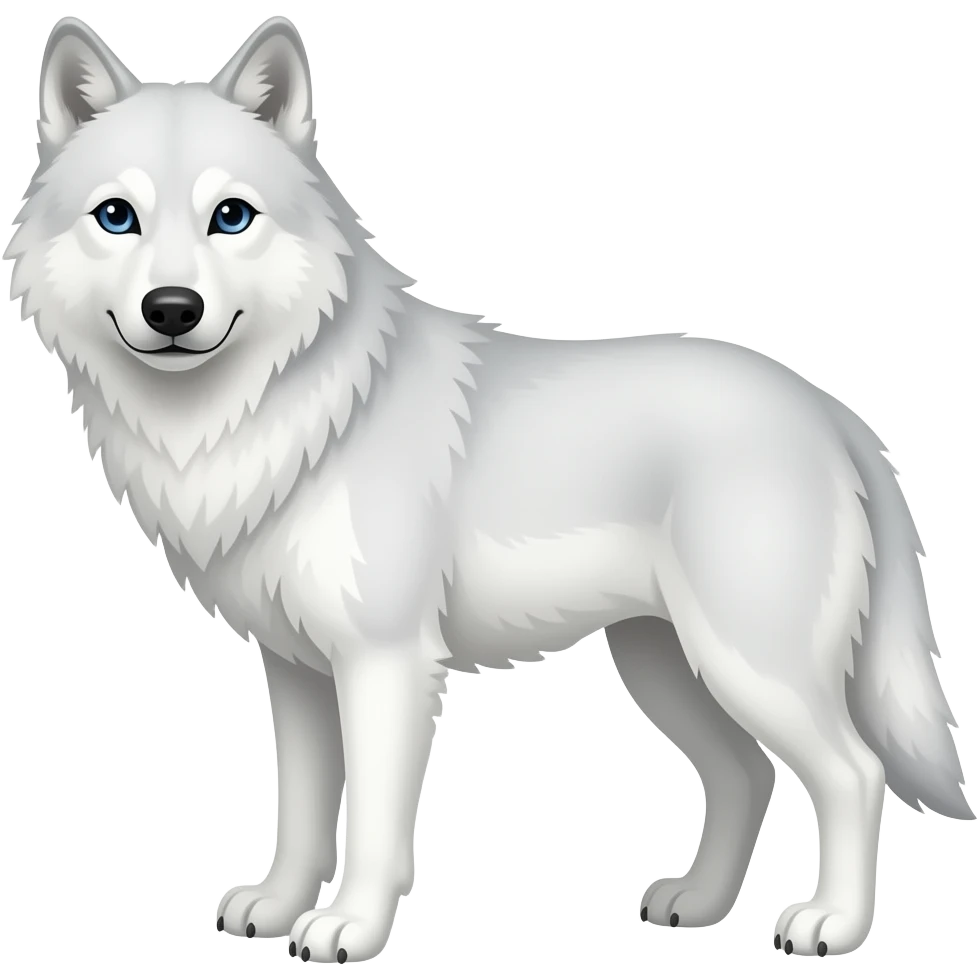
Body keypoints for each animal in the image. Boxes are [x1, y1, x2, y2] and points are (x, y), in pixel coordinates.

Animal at [5, 12, 972, 964]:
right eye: (117, 217)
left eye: (230, 217)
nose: (172, 310)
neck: (288, 411)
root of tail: (832, 411)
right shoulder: (296, 670)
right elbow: (303, 811)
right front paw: (277, 909)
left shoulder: (385, 664)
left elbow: (374, 821)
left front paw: (350, 928)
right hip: (664, 666)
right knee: (746, 772)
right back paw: (697, 903)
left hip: (749, 665)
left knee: (852, 773)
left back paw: (831, 924)